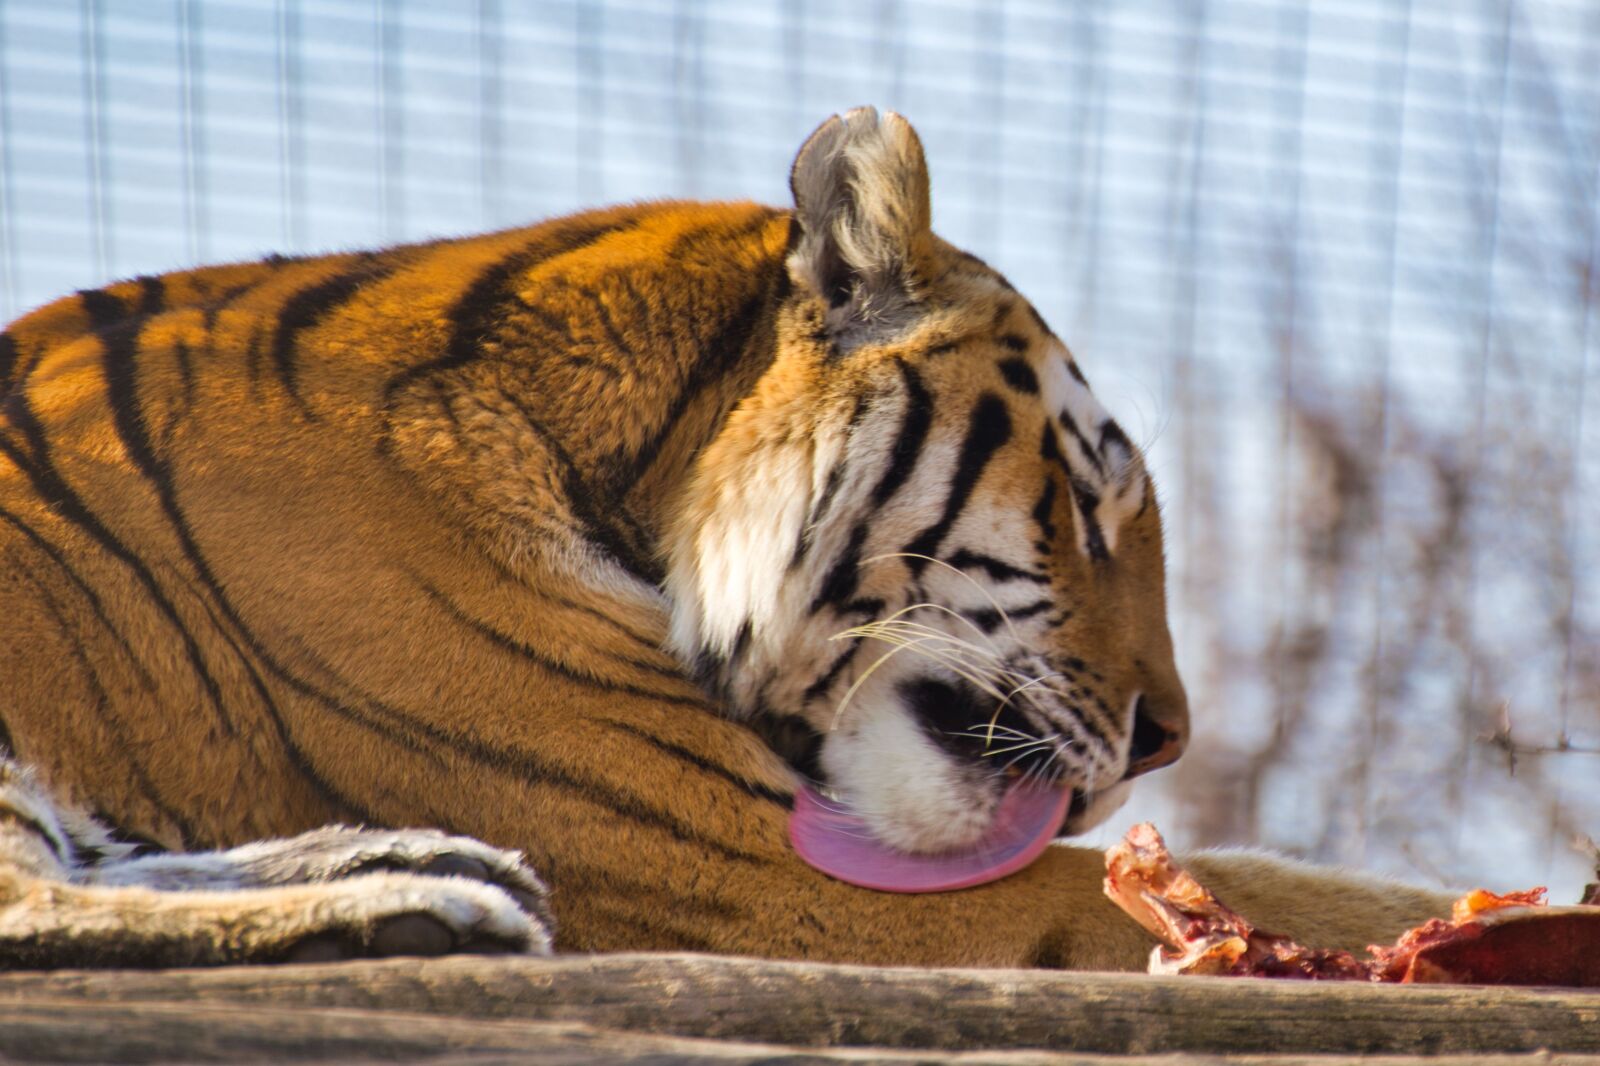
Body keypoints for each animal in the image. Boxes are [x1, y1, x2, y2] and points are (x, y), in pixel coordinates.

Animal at [0, 108, 1449, 969]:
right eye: (1083, 507)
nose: (1168, 739)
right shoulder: (746, 866)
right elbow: (1284, 888)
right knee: (33, 903)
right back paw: (414, 907)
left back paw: (420, 863)